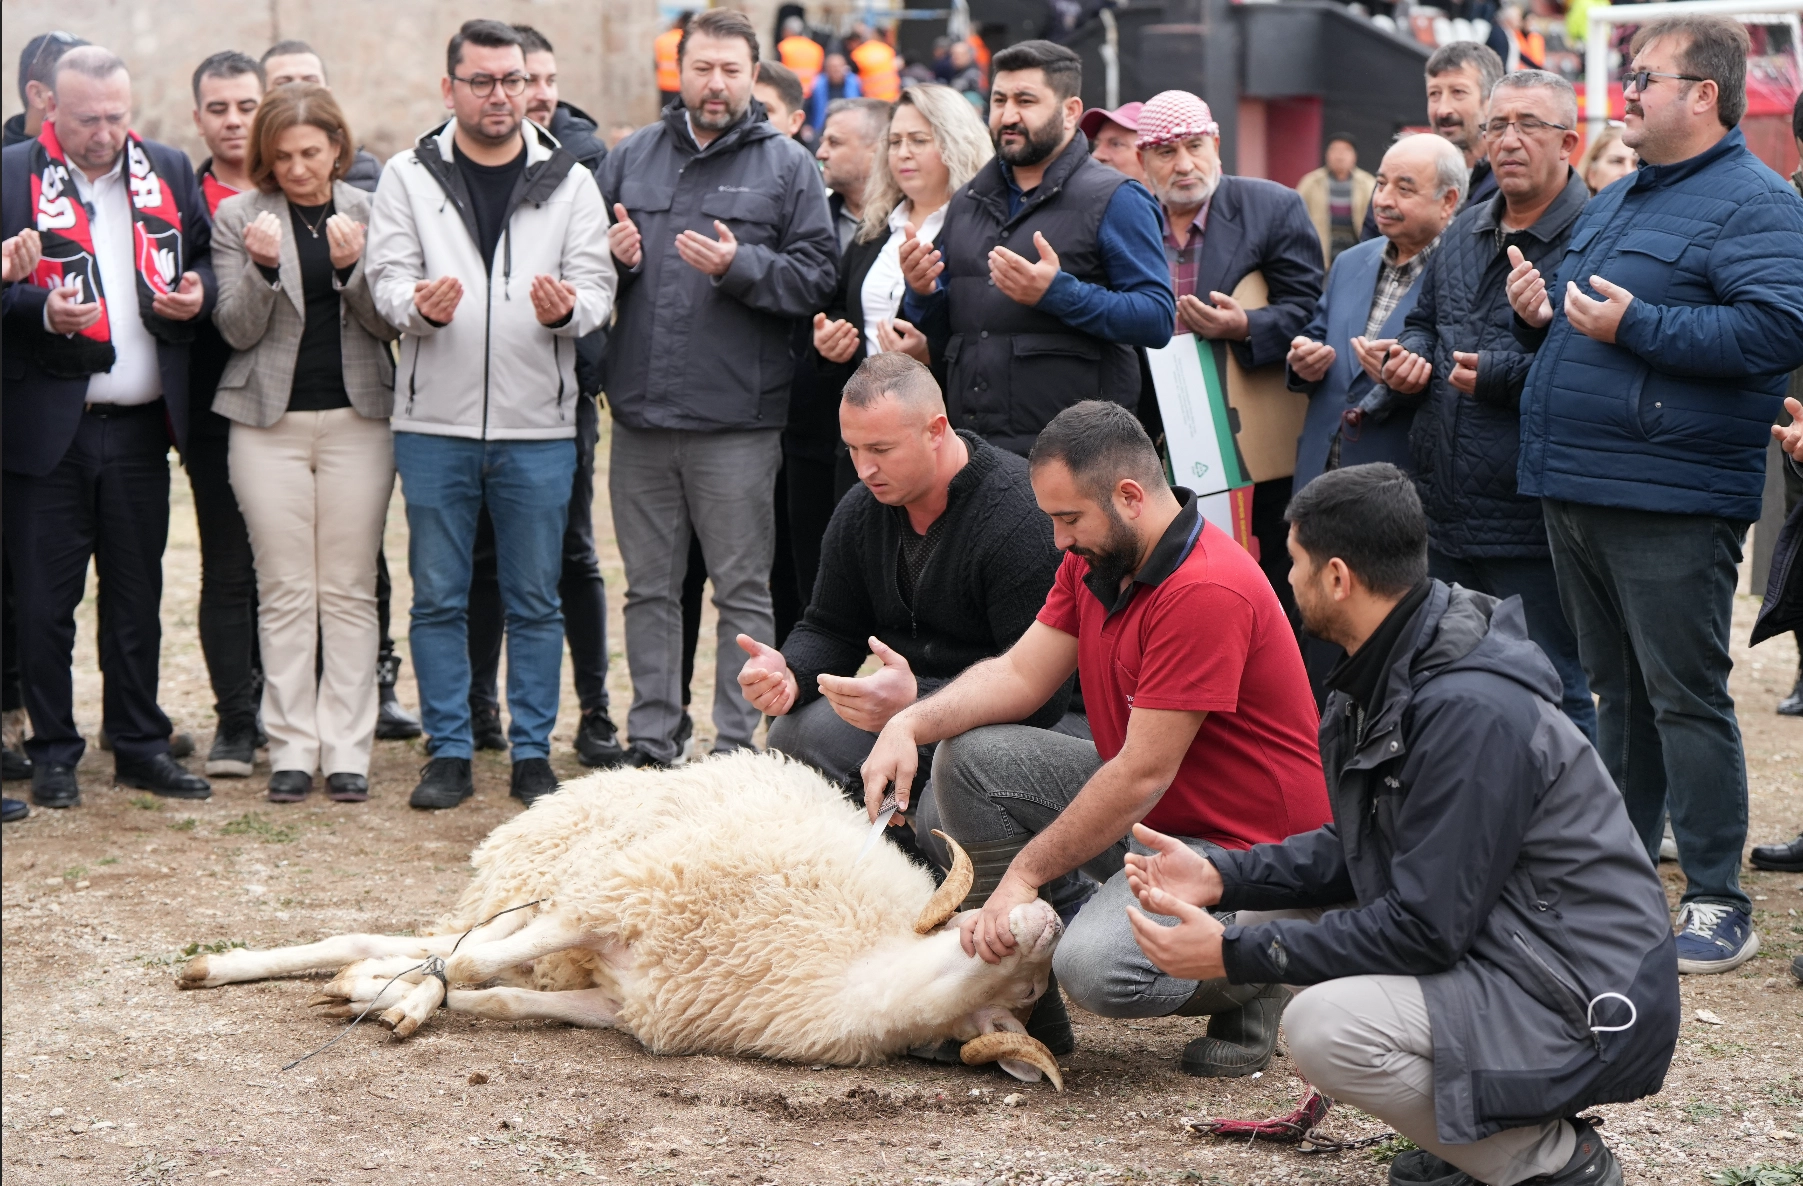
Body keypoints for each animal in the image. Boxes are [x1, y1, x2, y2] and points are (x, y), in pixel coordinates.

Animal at [175, 753, 1060, 1088]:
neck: (854, 969)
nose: (1049, 915)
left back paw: (363, 984)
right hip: (554, 878)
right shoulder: (614, 900)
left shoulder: (629, 1003)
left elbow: (497, 995)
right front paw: (409, 995)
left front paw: (407, 999)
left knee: (439, 948)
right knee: (458, 942)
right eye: (985, 938)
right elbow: (469, 967)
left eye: (1024, 994)